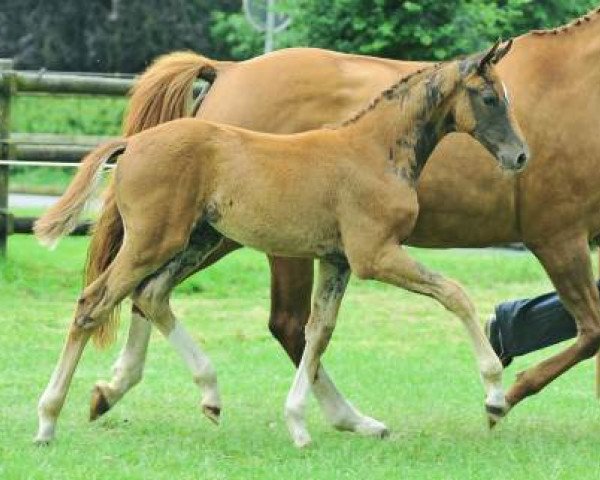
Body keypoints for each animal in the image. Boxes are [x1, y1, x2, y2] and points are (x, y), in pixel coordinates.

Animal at [35, 41, 528, 446]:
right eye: (489, 98)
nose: (520, 155)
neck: (374, 151)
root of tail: (132, 144)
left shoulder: (337, 260)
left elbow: (318, 331)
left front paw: (298, 422)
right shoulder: (374, 255)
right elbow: (455, 294)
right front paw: (494, 395)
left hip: (198, 239)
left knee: (151, 294)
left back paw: (207, 393)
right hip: (154, 241)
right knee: (93, 303)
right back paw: (48, 420)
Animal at [90, 8, 600, 428]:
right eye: (491, 99)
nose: (520, 157)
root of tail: (228, 71)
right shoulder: (558, 237)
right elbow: (590, 330)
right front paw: (501, 395)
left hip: (210, 235)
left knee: (149, 292)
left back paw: (115, 390)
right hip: (235, 239)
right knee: (276, 321)